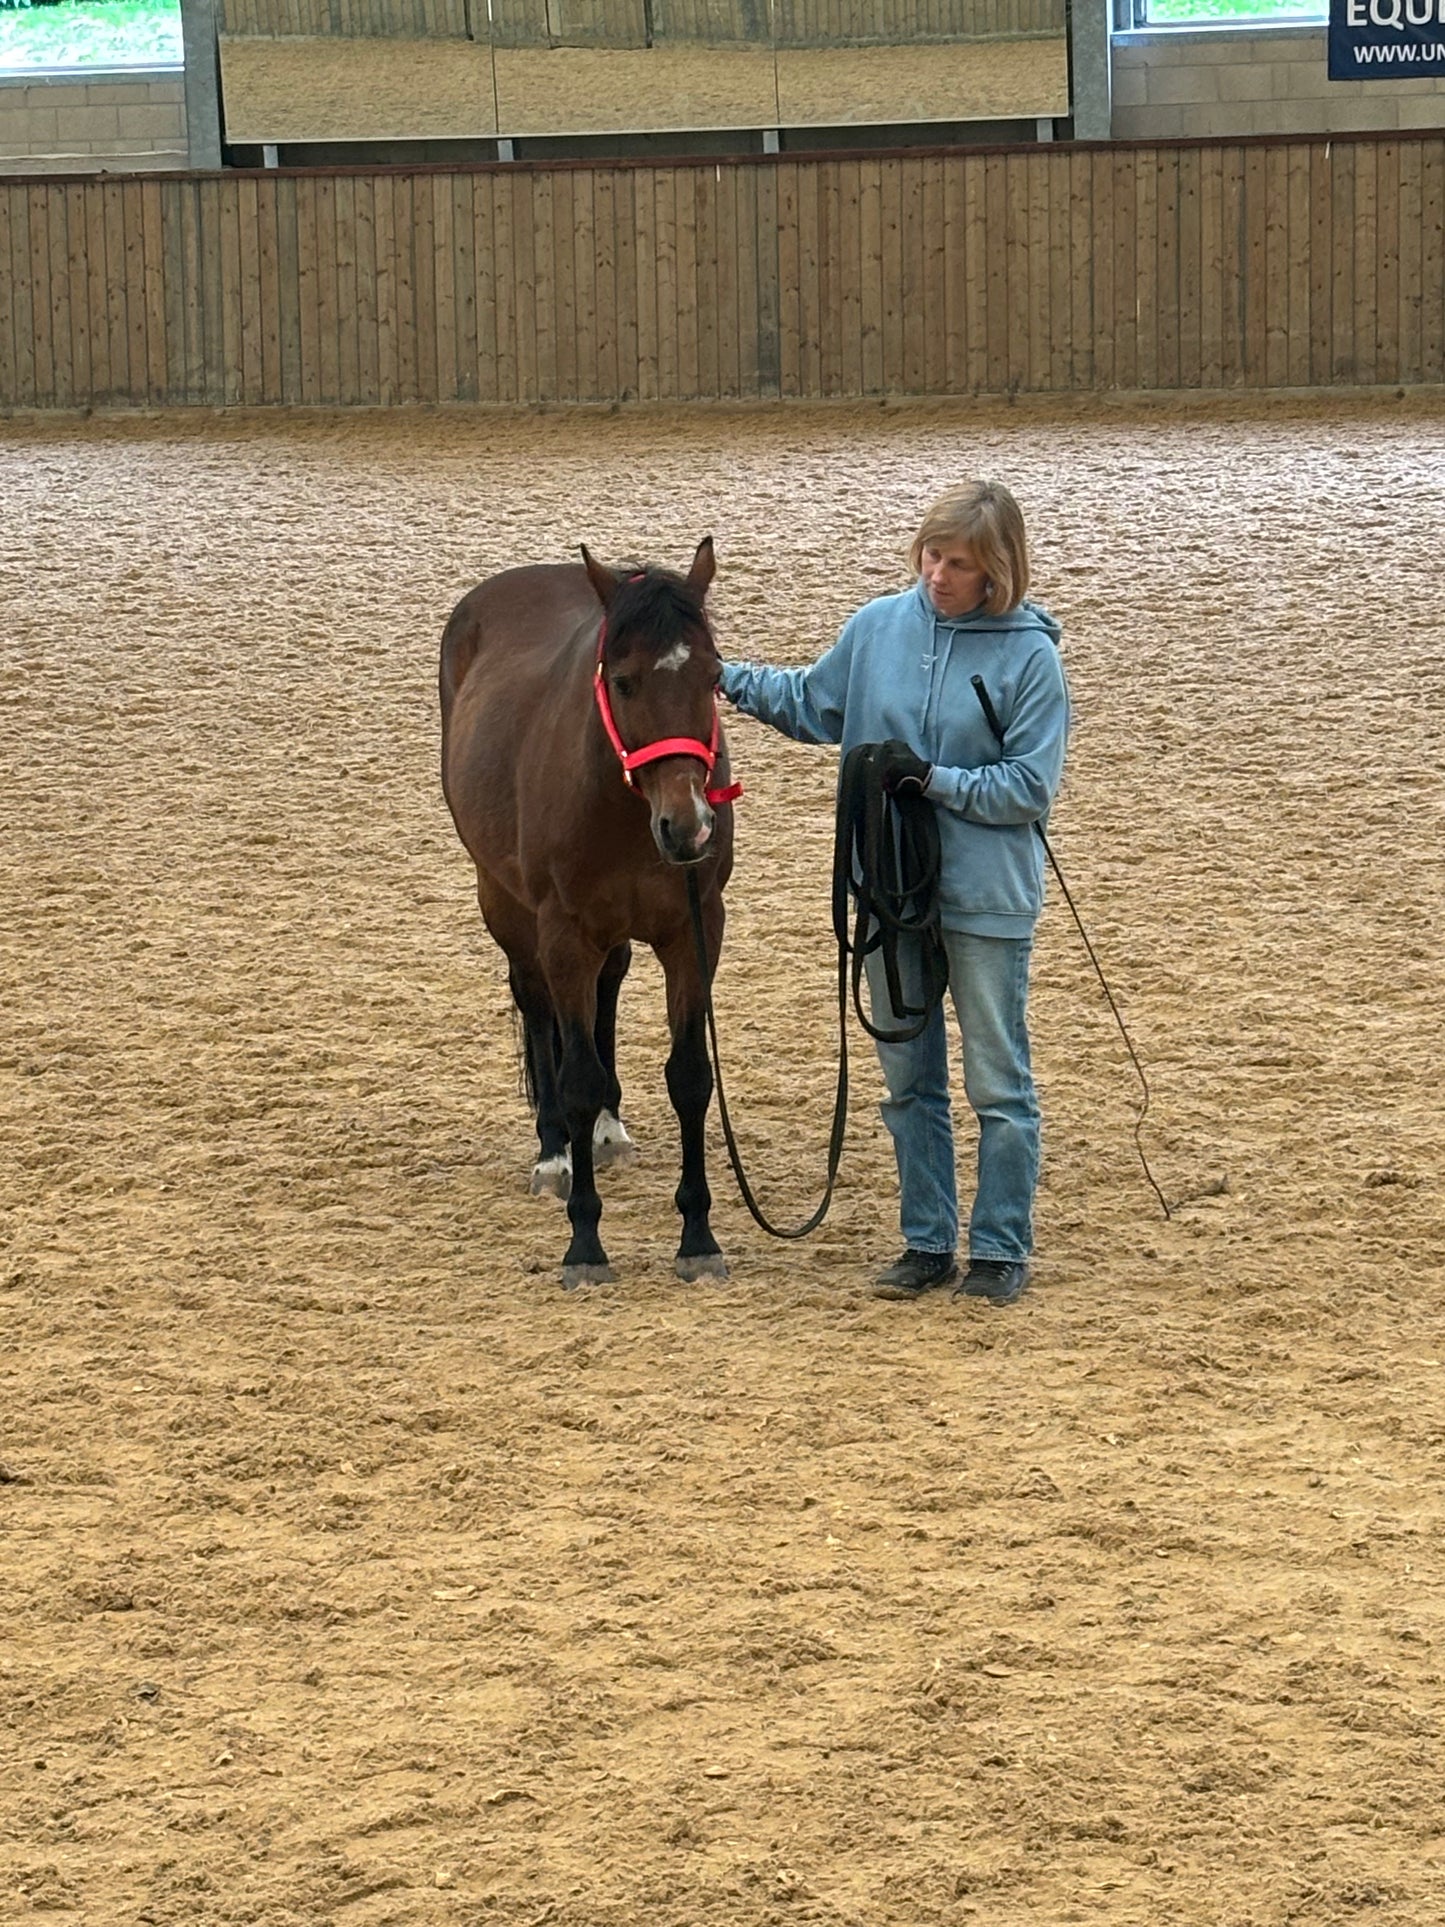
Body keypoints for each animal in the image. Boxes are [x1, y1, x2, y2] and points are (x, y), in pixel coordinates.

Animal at [439, 538, 737, 1290]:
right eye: (624, 682)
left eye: (715, 677)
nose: (688, 827)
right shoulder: (564, 937)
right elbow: (573, 1075)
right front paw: (585, 1244)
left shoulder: (693, 933)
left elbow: (690, 1076)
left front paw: (698, 1236)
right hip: (506, 905)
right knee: (536, 1004)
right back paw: (555, 1153)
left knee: (610, 988)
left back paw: (605, 1128)